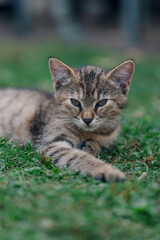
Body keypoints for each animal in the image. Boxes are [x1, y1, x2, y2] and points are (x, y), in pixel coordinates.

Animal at [0, 58, 135, 182]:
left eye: (102, 102)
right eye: (75, 102)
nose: (87, 119)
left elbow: (97, 146)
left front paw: (91, 146)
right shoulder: (51, 144)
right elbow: (77, 156)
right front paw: (107, 170)